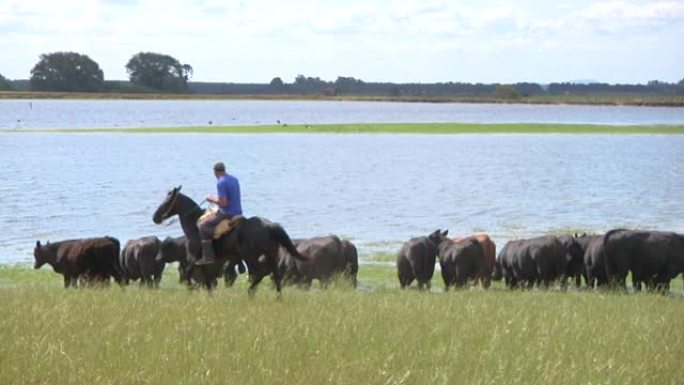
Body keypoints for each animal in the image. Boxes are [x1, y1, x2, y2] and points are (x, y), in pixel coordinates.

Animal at [153, 185, 310, 294]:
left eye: (166, 201)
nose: (155, 217)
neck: (194, 224)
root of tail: (270, 225)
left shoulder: (193, 258)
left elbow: (188, 274)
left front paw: (190, 291)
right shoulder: (203, 262)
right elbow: (206, 278)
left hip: (250, 256)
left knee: (260, 273)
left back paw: (250, 292)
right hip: (270, 255)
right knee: (275, 275)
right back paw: (277, 298)